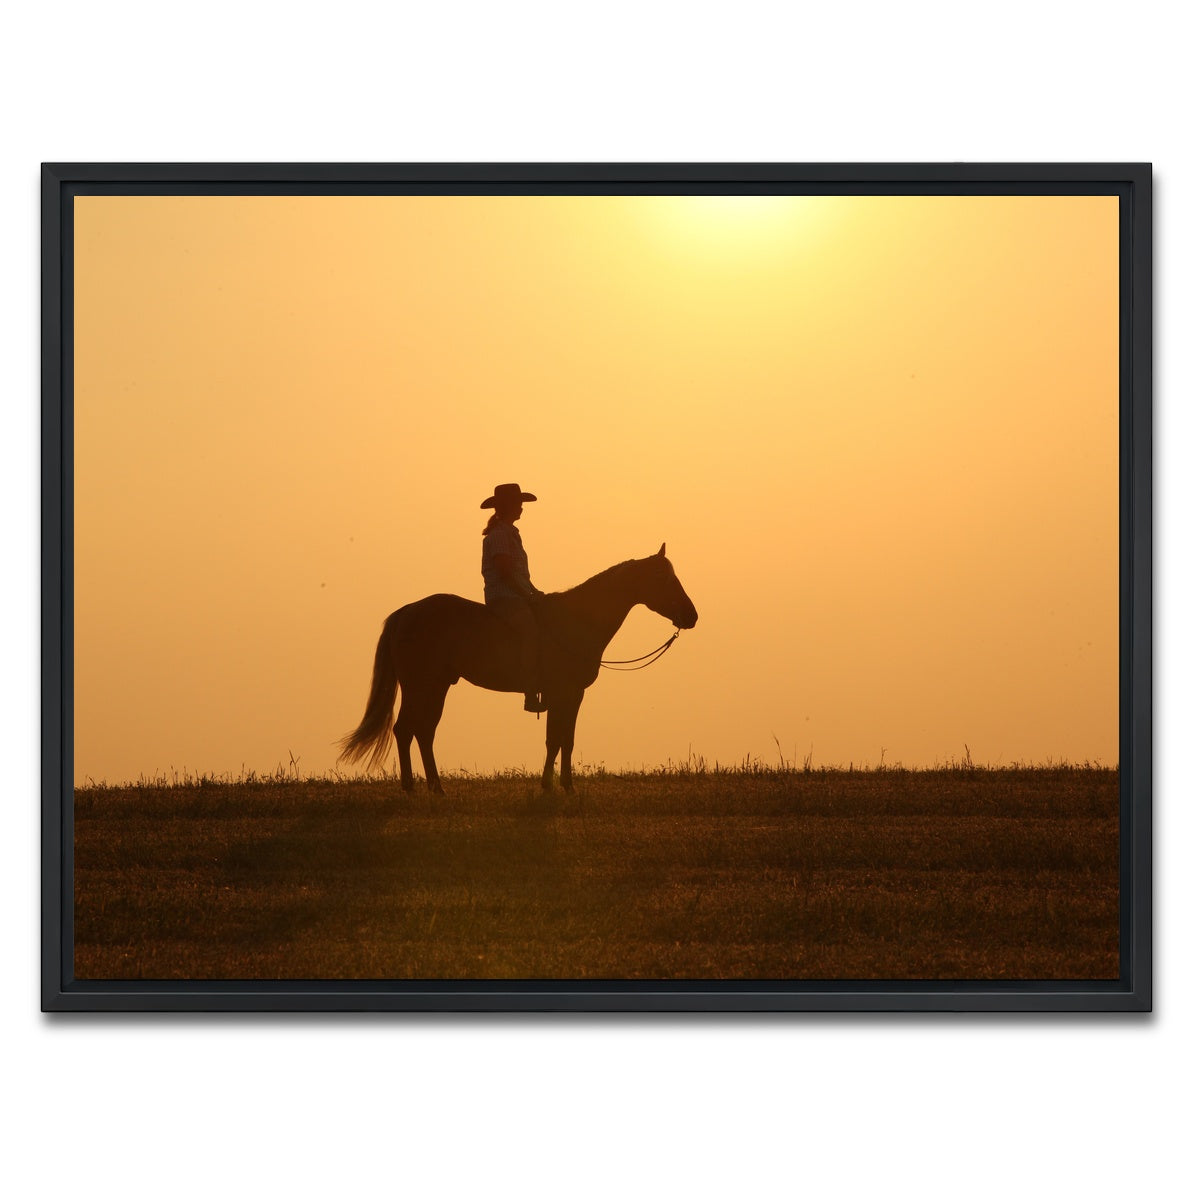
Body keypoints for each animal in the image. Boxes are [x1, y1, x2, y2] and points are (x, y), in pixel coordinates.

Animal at [338, 544, 698, 793]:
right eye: (664, 578)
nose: (692, 616)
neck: (576, 621)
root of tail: (406, 612)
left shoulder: (571, 695)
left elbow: (563, 739)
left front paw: (561, 785)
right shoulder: (564, 693)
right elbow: (556, 739)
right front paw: (555, 787)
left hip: (436, 686)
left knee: (424, 732)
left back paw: (437, 789)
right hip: (420, 686)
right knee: (405, 729)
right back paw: (413, 788)